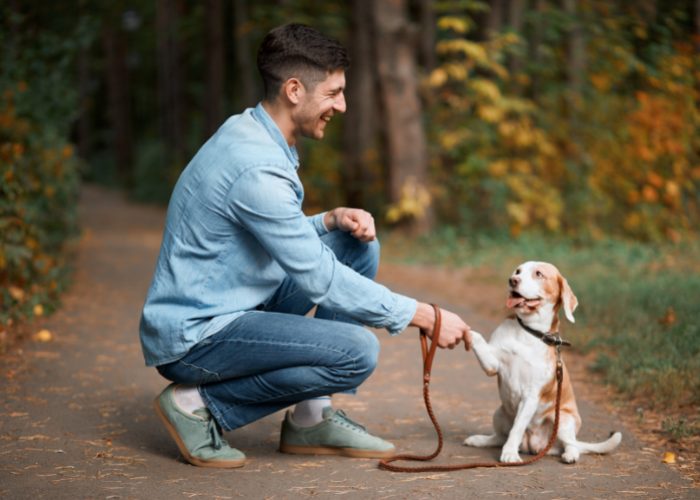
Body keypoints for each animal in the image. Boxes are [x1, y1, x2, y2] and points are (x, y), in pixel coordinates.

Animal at [464, 262, 624, 464]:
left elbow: (517, 429)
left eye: (538, 274)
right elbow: (476, 336)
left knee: (571, 444)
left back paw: (570, 455)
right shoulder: (492, 365)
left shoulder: (530, 396)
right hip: (499, 413)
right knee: (499, 437)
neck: (528, 331)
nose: (512, 280)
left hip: (563, 421)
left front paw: (510, 453)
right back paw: (479, 440)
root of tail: (533, 445)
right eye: (518, 271)